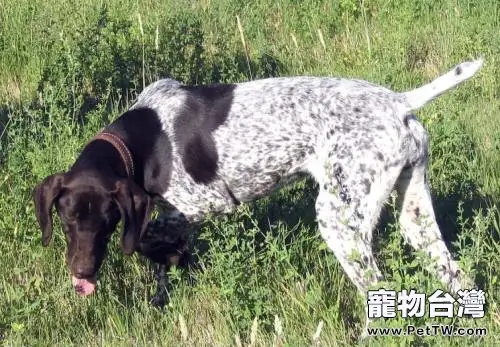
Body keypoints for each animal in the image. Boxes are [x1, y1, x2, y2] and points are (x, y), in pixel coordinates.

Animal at [33, 58, 482, 336]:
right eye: (67, 219)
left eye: (107, 220)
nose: (82, 272)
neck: (141, 140)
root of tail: (399, 102)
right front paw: (167, 280)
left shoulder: (198, 205)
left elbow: (147, 239)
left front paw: (170, 256)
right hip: (416, 218)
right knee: (458, 277)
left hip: (339, 222)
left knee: (378, 290)